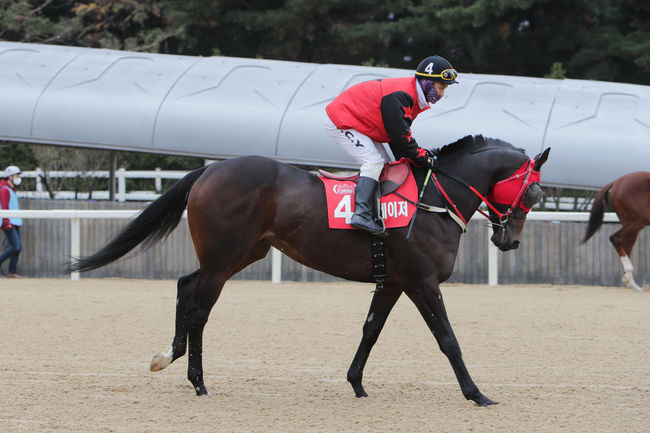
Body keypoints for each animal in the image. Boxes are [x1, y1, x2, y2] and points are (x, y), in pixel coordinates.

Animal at [71, 135, 548, 404]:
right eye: (535, 193)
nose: (509, 240)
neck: (433, 198)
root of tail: (210, 171)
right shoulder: (422, 282)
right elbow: (448, 340)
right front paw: (476, 393)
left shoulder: (393, 282)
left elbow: (370, 331)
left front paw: (356, 383)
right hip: (224, 259)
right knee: (199, 308)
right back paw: (198, 381)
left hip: (242, 255)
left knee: (186, 287)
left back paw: (170, 356)